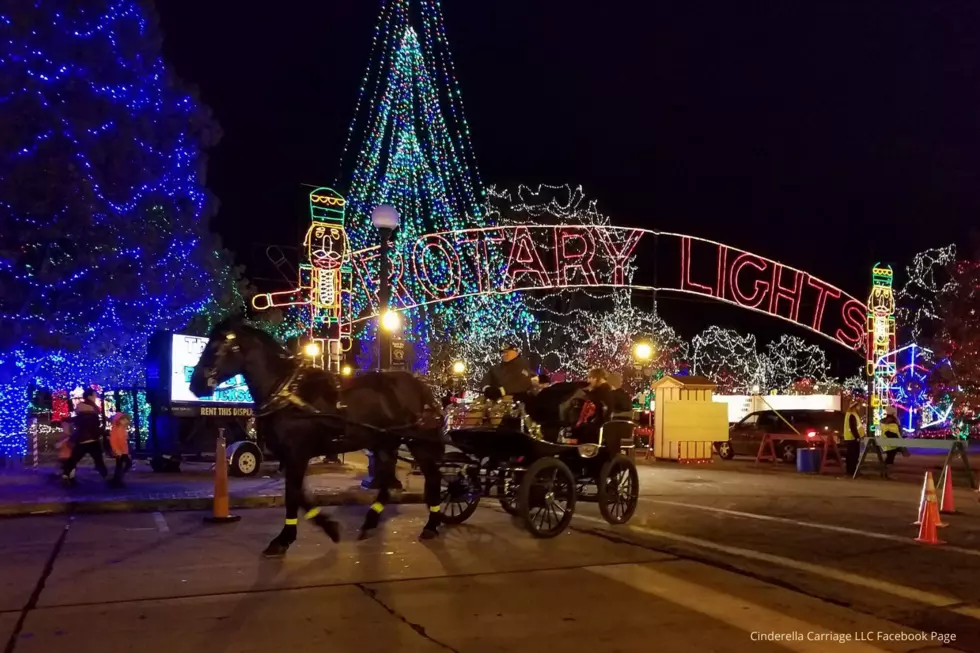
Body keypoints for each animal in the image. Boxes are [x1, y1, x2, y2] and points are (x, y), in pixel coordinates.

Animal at [189, 316, 448, 556]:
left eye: (217, 346)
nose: (195, 384)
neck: (287, 392)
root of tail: (424, 388)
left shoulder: (297, 453)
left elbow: (293, 495)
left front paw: (285, 538)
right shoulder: (291, 455)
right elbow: (300, 496)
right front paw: (325, 527)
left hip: (418, 443)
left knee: (433, 478)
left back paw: (431, 526)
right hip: (385, 442)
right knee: (386, 483)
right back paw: (370, 522)